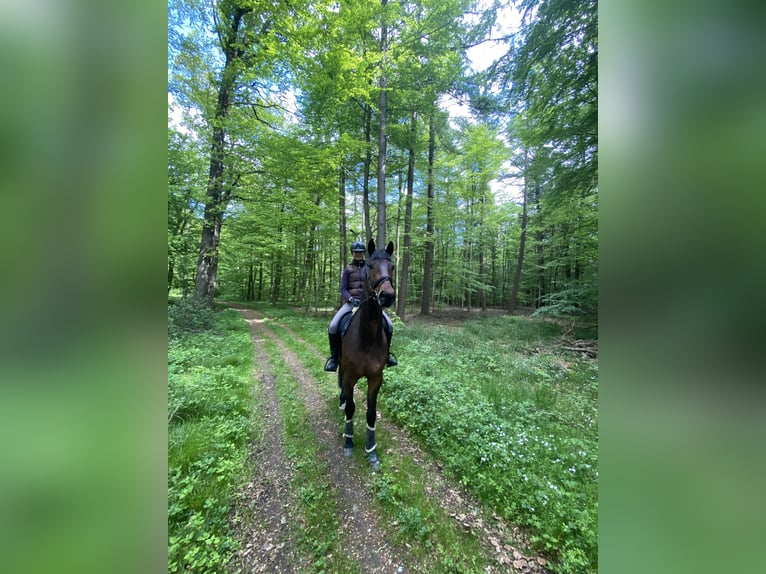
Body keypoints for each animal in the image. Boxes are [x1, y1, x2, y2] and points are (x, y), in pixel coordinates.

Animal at [338, 240, 396, 472]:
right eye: (370, 266)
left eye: (392, 267)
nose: (387, 296)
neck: (367, 336)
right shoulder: (350, 377)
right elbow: (351, 407)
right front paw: (349, 441)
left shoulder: (375, 378)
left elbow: (371, 412)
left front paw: (371, 450)